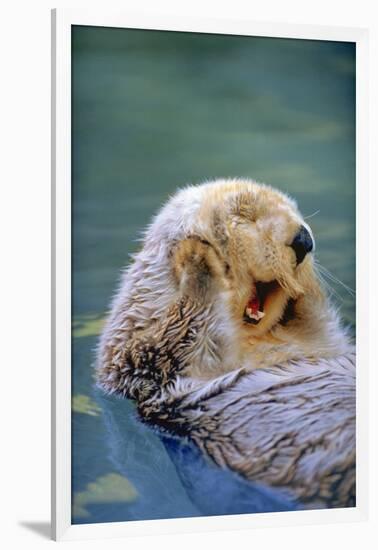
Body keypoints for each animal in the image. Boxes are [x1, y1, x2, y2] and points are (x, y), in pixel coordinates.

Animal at [94, 179, 354, 512]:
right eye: (246, 216)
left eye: (295, 212)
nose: (304, 239)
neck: (255, 340)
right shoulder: (146, 360)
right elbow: (182, 334)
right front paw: (196, 256)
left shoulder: (320, 341)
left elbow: (320, 325)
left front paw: (305, 287)